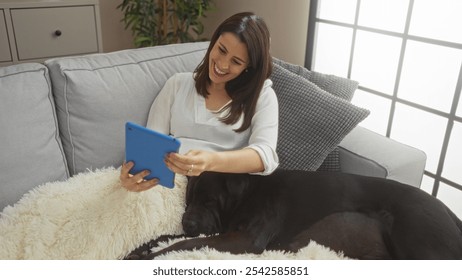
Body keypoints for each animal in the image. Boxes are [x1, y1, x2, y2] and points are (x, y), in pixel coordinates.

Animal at [132, 170, 460, 260]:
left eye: (211, 201)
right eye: (189, 201)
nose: (188, 220)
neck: (247, 194)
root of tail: (450, 211)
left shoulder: (244, 239)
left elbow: (185, 243)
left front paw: (151, 256)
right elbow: (169, 236)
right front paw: (140, 248)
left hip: (419, 240)